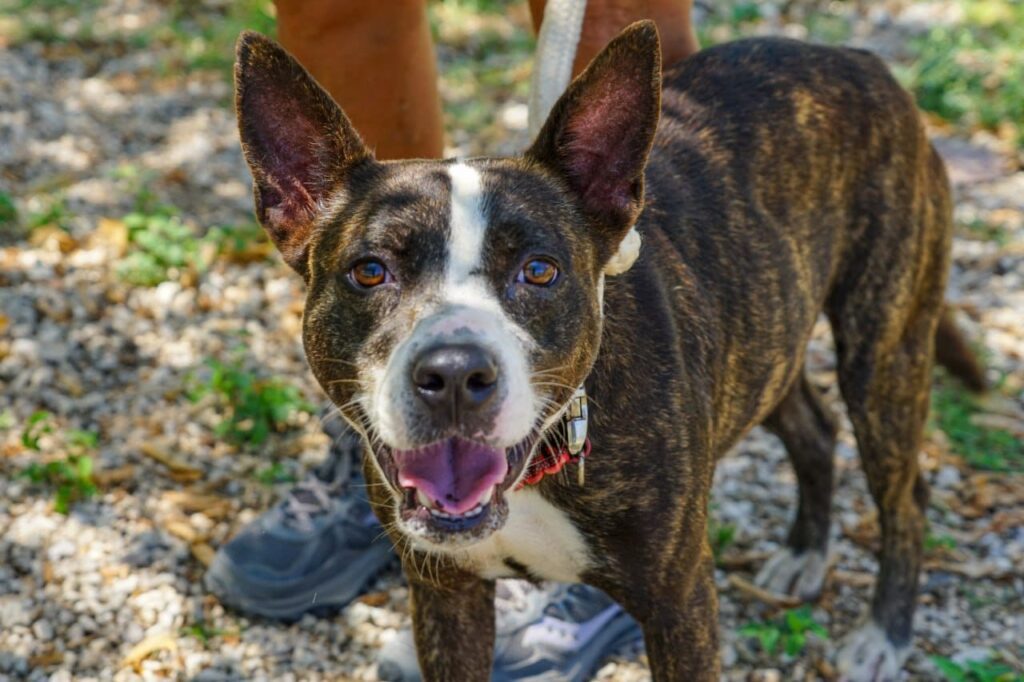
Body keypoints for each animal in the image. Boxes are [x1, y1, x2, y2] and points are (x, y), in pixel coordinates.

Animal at [232, 22, 983, 679]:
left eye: (539, 270)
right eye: (369, 271)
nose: (453, 373)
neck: (543, 462)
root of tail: (854, 57)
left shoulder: (681, 606)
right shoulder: (446, 602)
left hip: (883, 353)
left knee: (905, 495)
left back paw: (883, 636)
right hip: (768, 331)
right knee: (814, 426)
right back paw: (805, 552)